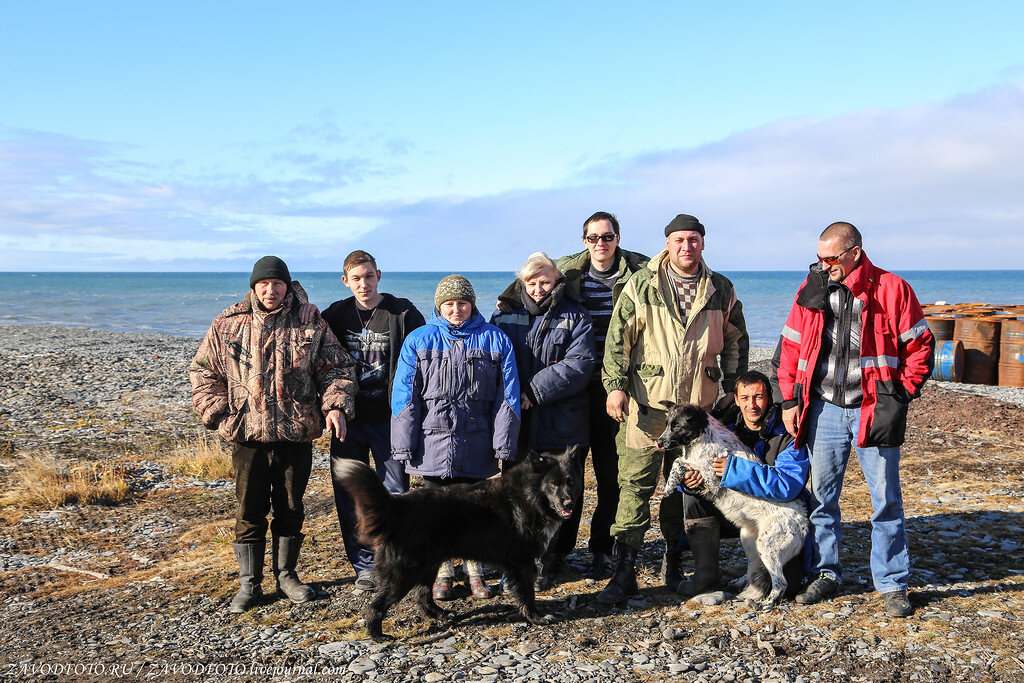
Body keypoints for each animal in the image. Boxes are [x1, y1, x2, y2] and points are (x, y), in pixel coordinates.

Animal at [335, 448, 585, 643]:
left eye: (571, 482)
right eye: (553, 484)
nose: (569, 504)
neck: (529, 495)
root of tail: (398, 505)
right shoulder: (522, 563)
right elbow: (527, 594)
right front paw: (536, 618)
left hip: (429, 565)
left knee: (423, 597)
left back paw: (442, 616)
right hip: (404, 573)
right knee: (376, 605)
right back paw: (377, 635)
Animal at [659, 401, 811, 610]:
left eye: (677, 427)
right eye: (667, 424)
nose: (659, 442)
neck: (702, 438)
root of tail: (803, 522)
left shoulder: (711, 476)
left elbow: (679, 462)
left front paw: (669, 484)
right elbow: (680, 462)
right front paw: (671, 485)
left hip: (768, 547)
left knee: (781, 582)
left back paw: (768, 603)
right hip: (749, 540)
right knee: (753, 568)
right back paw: (741, 582)